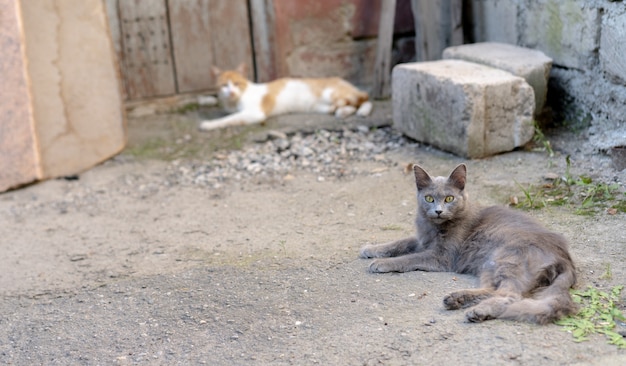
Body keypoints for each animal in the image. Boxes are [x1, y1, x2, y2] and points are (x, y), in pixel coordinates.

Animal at [199, 63, 370, 131]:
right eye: (224, 85)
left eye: (236, 83)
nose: (231, 92)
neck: (233, 102)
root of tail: (343, 81)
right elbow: (228, 114)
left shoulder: (255, 113)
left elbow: (230, 119)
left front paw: (209, 124)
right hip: (321, 106)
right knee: (352, 103)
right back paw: (342, 111)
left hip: (331, 93)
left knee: (364, 98)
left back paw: (360, 111)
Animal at [358, 163, 572, 324]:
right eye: (429, 198)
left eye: (449, 198)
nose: (438, 211)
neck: (434, 227)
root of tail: (565, 258)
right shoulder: (422, 240)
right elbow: (401, 242)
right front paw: (370, 249)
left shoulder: (441, 256)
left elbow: (409, 258)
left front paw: (381, 263)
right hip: (487, 264)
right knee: (492, 290)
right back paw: (457, 299)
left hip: (505, 258)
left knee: (509, 295)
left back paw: (478, 311)